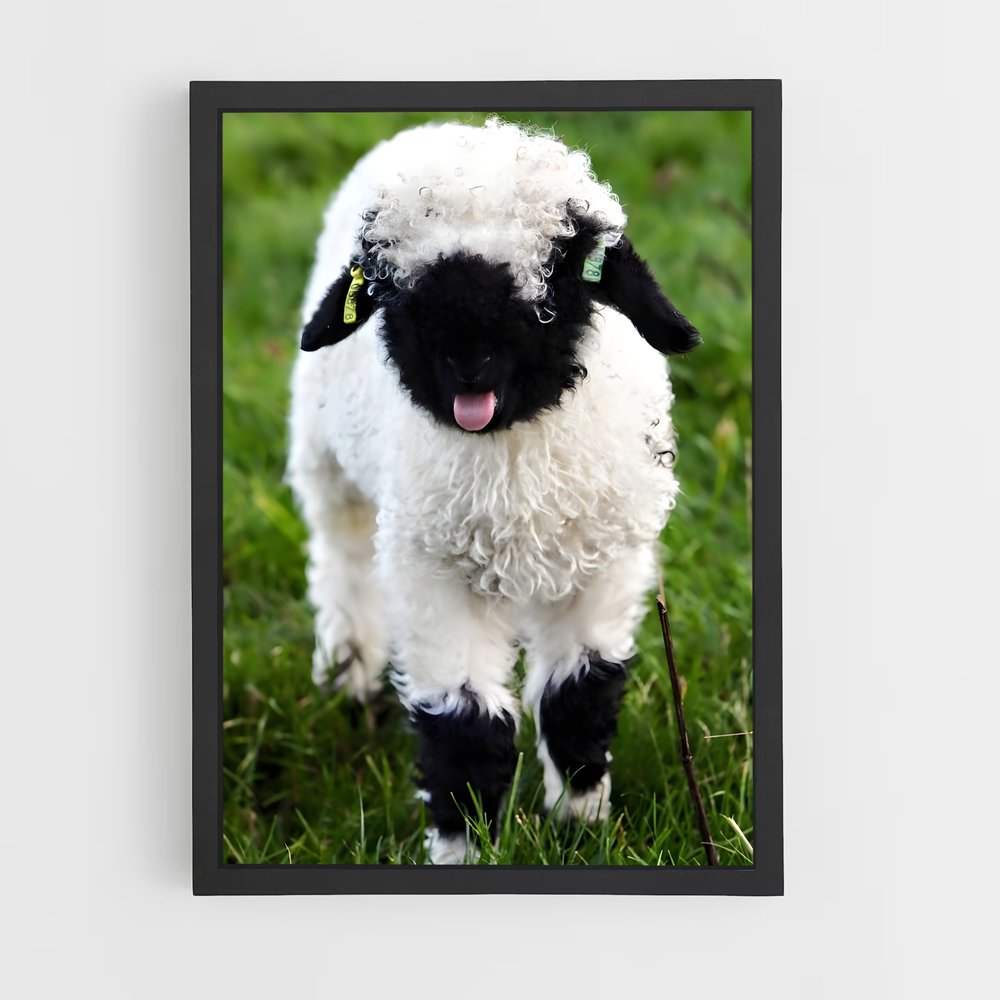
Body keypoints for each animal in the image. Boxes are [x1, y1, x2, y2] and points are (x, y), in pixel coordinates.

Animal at [287, 118, 701, 864]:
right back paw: (347, 672)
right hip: (327, 463)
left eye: (552, 283)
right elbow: (464, 728)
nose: (466, 359)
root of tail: (446, 126)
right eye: (395, 292)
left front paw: (580, 826)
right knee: (343, 560)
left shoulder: (603, 564)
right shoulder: (435, 573)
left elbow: (578, 697)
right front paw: (464, 846)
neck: (512, 471)